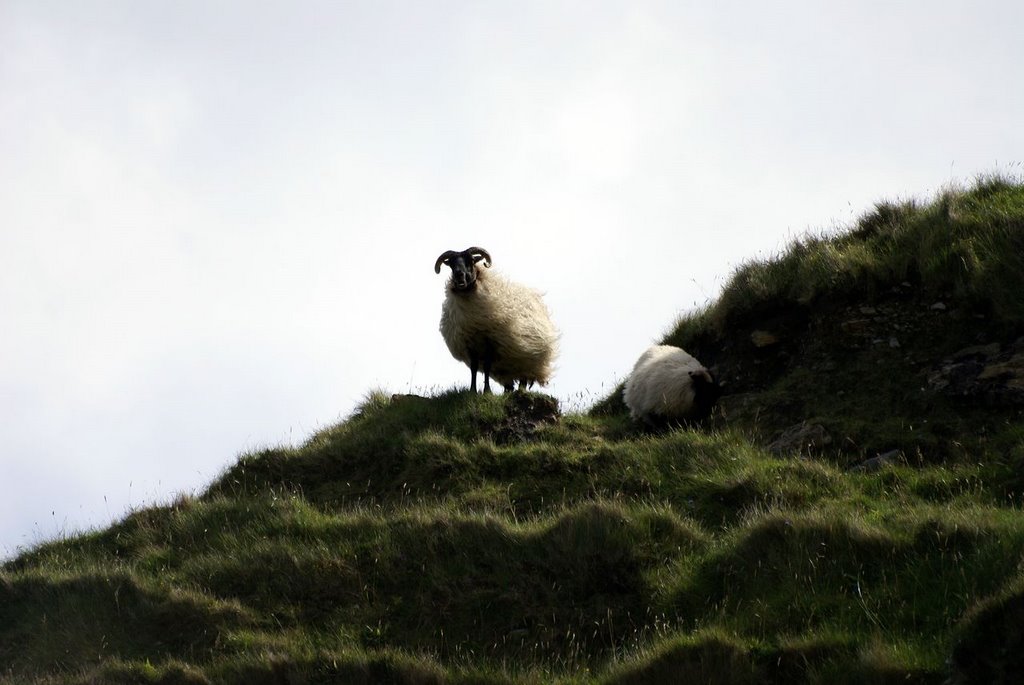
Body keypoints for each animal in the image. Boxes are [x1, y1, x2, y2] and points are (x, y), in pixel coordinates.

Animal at [432, 248, 561, 393]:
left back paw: (520, 391)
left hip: (526, 360)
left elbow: (487, 366)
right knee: (509, 384)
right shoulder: (470, 344)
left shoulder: (491, 343)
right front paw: (473, 390)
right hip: (507, 368)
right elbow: (474, 368)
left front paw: (487, 390)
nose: (459, 274)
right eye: (451, 264)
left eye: (471, 261)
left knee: (523, 379)